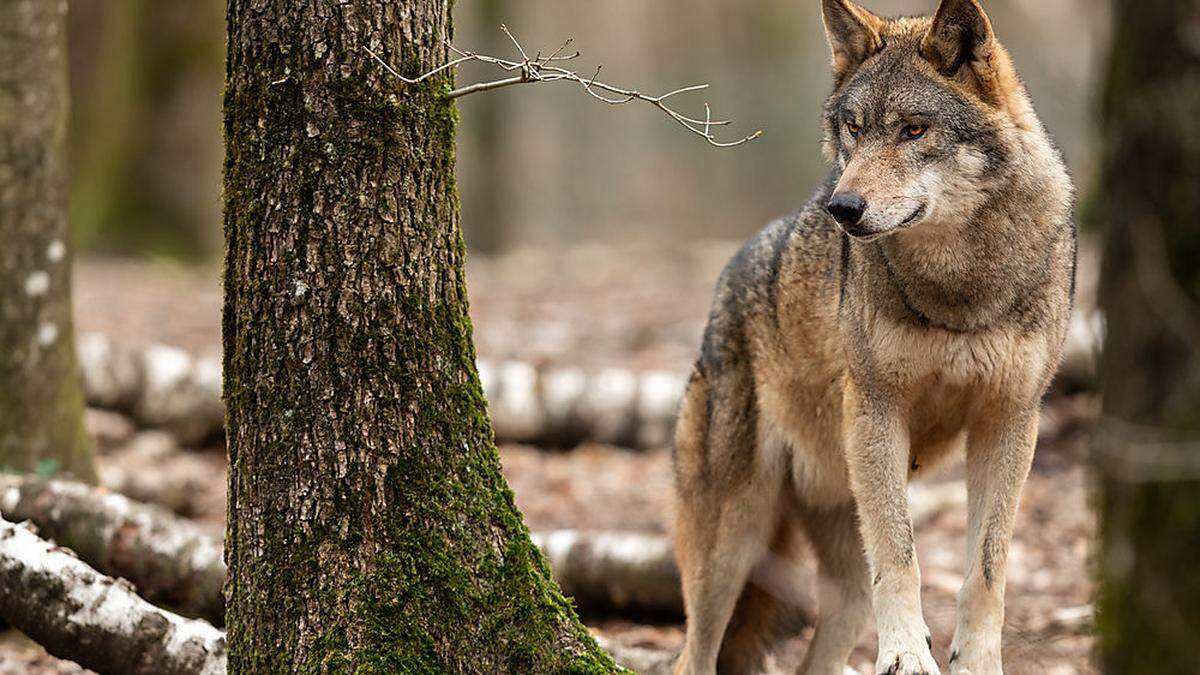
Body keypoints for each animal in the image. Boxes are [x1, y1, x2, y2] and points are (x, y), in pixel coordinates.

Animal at [672, 1, 1075, 672]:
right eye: (854, 130)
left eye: (914, 130)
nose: (842, 208)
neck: (960, 286)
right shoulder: (876, 408)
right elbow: (902, 557)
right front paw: (909, 655)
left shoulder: (1010, 419)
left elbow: (986, 571)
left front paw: (977, 661)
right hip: (733, 543)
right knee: (692, 655)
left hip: (840, 575)